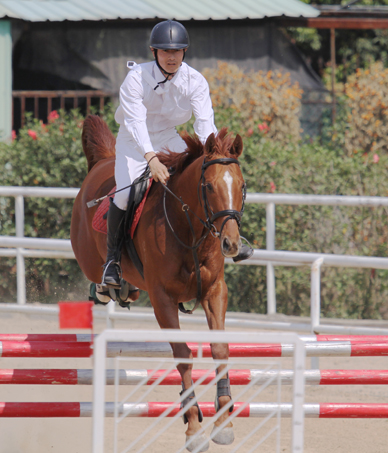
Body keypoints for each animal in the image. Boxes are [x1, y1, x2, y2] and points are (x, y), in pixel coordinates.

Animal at [70, 114, 246, 452]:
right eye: (208, 186)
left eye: (242, 186)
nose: (230, 243)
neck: (189, 229)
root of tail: (103, 161)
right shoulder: (163, 300)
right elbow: (183, 356)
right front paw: (194, 428)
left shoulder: (215, 292)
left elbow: (220, 349)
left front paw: (224, 422)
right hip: (88, 257)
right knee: (99, 279)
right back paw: (109, 284)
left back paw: (125, 289)